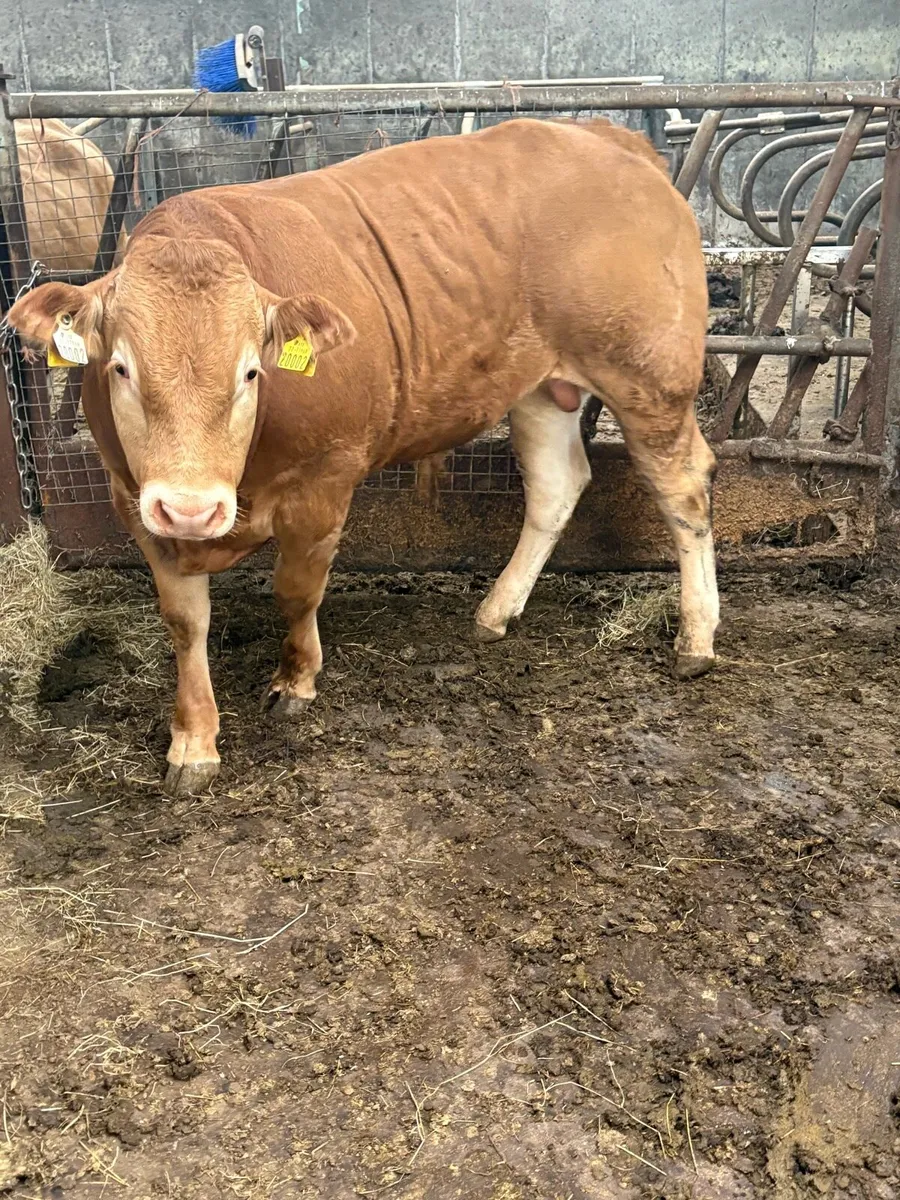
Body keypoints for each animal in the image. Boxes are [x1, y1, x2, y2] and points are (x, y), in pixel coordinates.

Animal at [7, 117, 719, 796]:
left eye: (250, 372)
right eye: (121, 368)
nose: (191, 509)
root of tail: (606, 137)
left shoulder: (326, 478)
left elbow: (297, 589)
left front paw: (295, 681)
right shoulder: (132, 499)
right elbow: (185, 622)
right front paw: (193, 742)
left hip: (650, 376)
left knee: (684, 488)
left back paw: (696, 638)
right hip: (541, 388)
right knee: (555, 486)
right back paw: (496, 612)